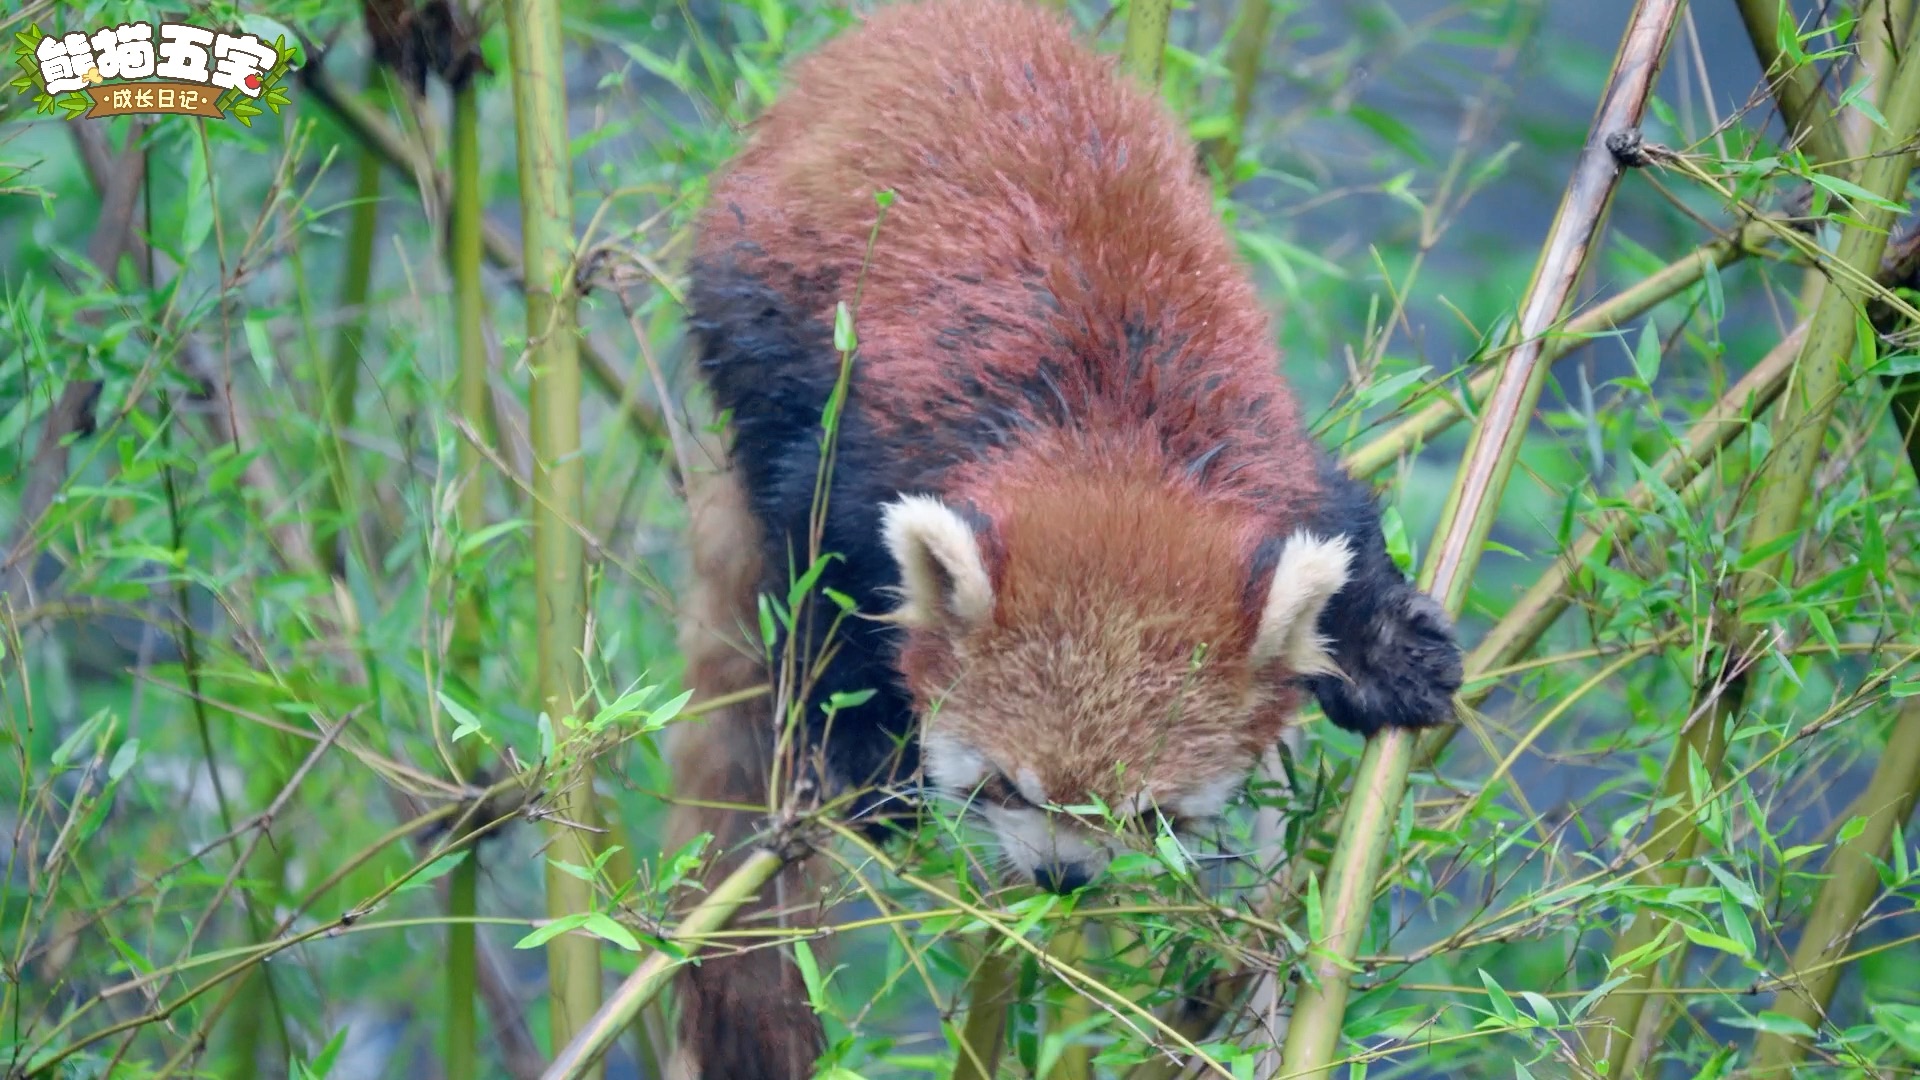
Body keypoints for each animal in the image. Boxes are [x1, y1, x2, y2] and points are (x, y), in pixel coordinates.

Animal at [668, 2, 1459, 1076]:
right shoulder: (864, 453)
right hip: (762, 298)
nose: (1063, 878)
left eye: (1152, 814)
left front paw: (1388, 650)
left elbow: (1338, 532)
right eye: (1003, 784)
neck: (1106, 443)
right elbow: (822, 577)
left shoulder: (1257, 438)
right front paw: (872, 755)